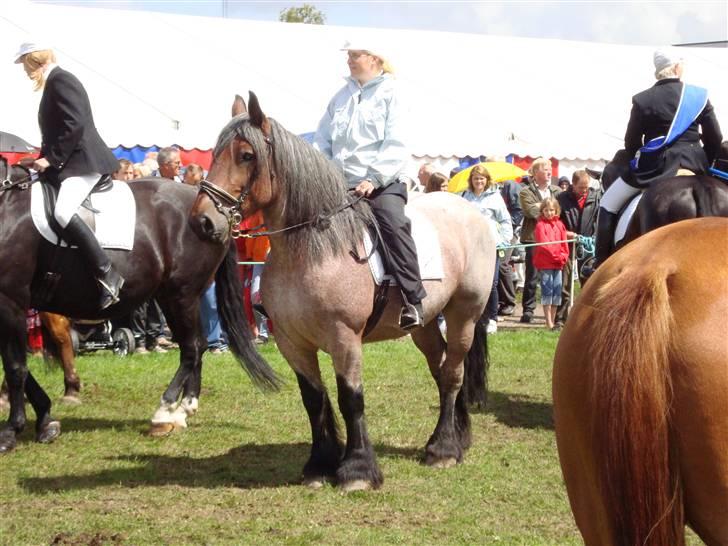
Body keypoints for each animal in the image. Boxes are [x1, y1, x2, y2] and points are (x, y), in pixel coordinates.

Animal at [0, 153, 278, 450]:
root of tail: (215, 209)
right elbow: (18, 366)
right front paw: (45, 420)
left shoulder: (10, 300)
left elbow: (16, 367)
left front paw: (13, 429)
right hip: (176, 297)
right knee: (197, 345)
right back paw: (184, 409)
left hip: (181, 294)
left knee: (192, 347)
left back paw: (164, 412)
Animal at [188, 95, 494, 490]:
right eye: (214, 153)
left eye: (245, 155)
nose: (202, 221)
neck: (313, 251)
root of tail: (472, 212)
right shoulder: (292, 342)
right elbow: (313, 398)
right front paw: (319, 465)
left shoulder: (344, 337)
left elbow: (351, 398)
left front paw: (358, 470)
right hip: (425, 324)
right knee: (441, 370)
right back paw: (455, 437)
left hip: (463, 315)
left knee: (454, 372)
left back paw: (443, 449)